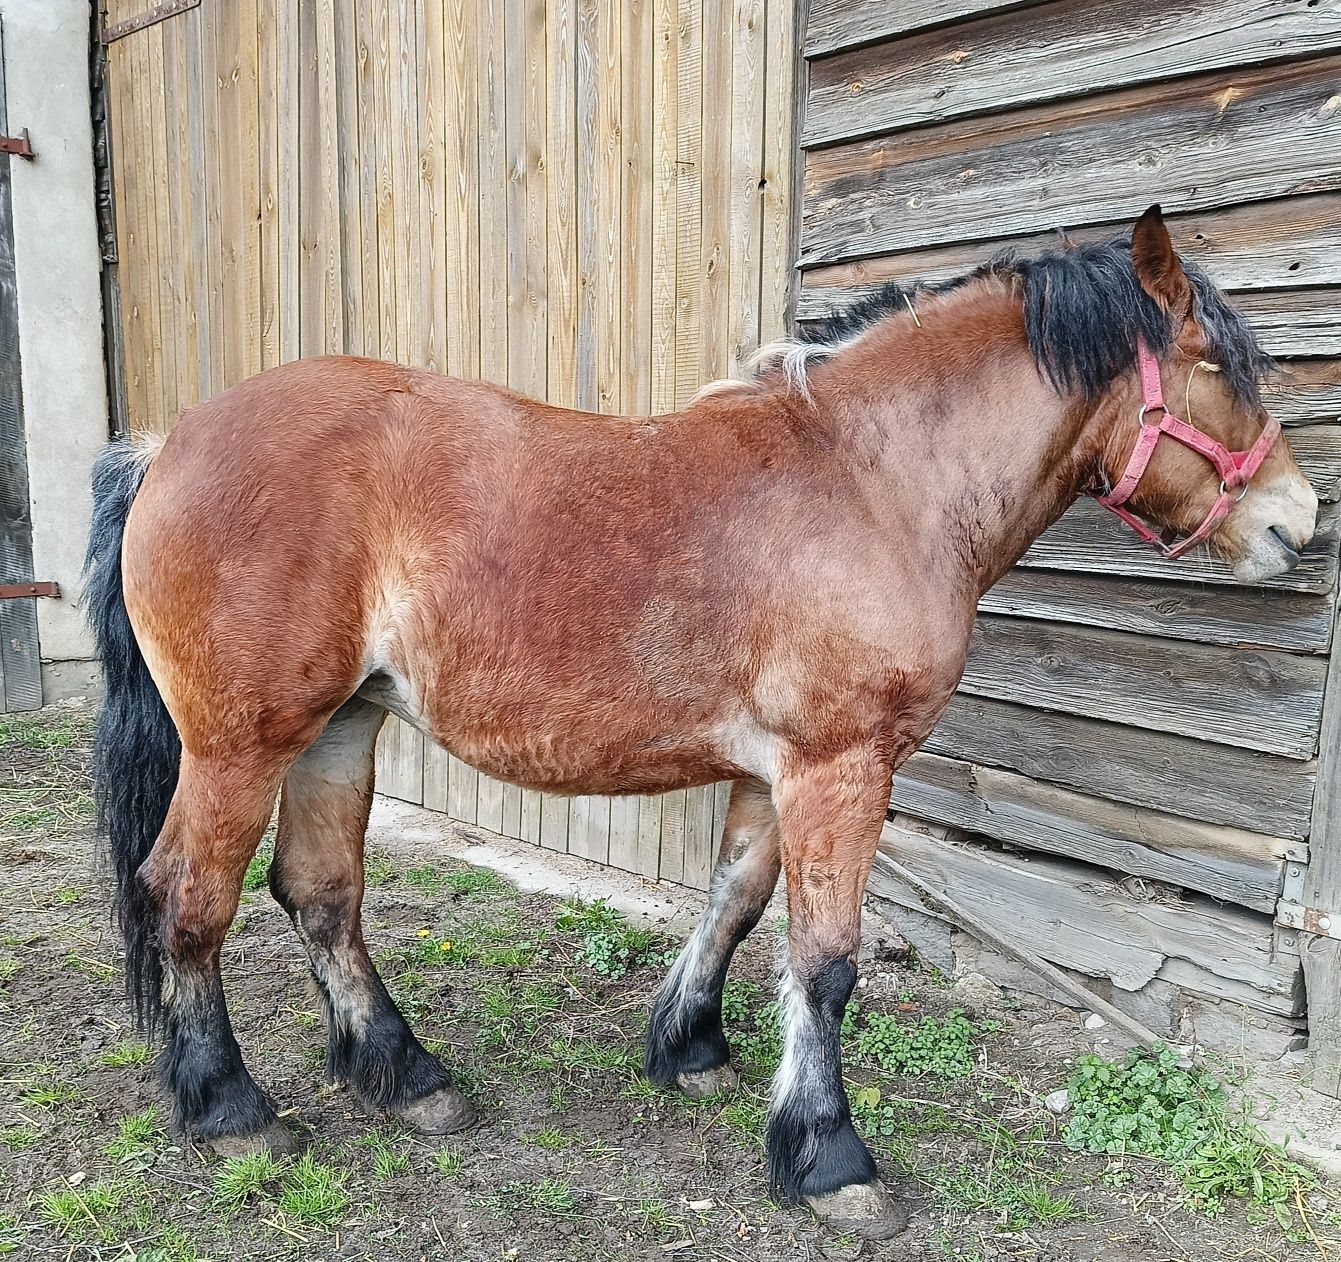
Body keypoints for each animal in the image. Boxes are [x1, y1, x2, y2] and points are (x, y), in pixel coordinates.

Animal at [86, 203, 1319, 1228]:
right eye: (1215, 363)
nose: (1298, 519)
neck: (871, 481)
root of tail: (168, 442)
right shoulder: (840, 765)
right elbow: (826, 959)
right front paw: (831, 1159)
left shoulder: (776, 773)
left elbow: (735, 900)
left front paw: (690, 1045)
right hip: (240, 746)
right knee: (186, 897)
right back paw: (232, 1108)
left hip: (341, 725)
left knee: (322, 893)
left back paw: (406, 1075)